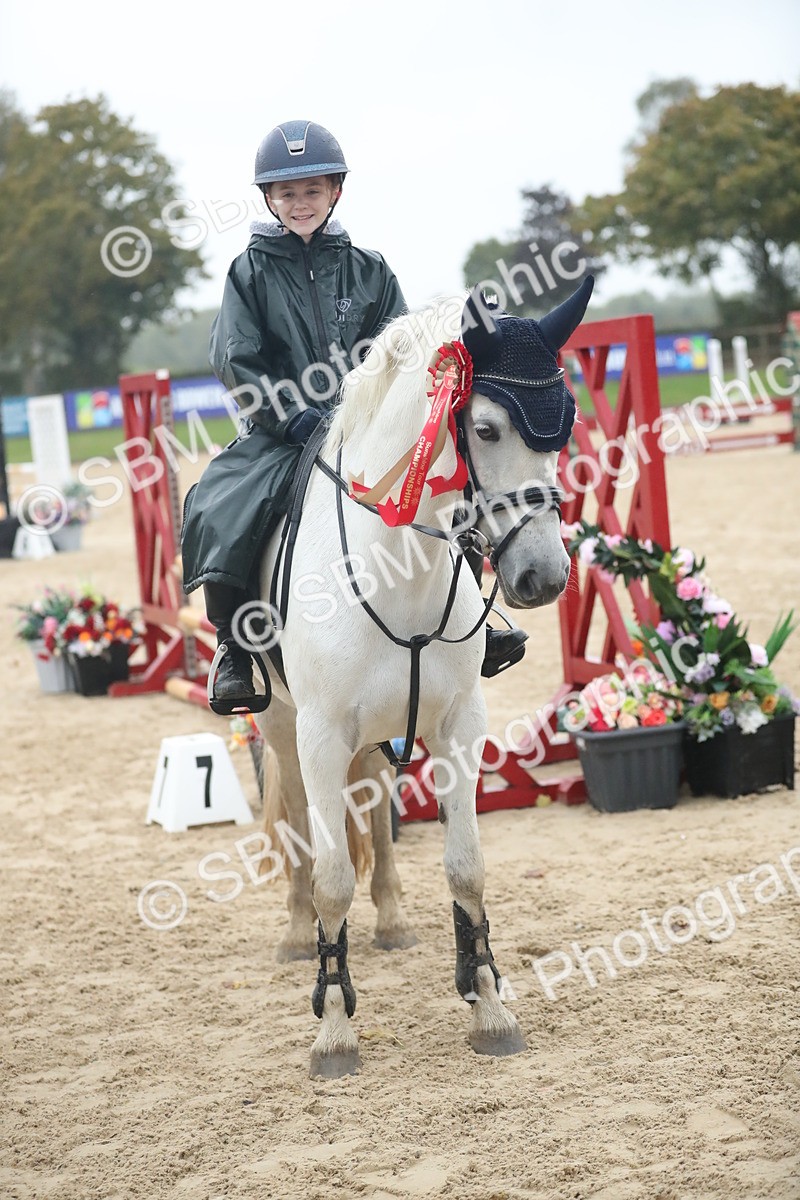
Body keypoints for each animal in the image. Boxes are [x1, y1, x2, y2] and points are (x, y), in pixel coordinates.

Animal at [253, 279, 592, 1078]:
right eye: (488, 429)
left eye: (563, 428)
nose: (543, 576)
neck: (396, 569)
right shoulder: (319, 734)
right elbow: (330, 875)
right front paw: (334, 1030)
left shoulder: (458, 724)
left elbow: (466, 866)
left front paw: (489, 1006)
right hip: (282, 727)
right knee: (298, 825)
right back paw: (296, 934)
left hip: (382, 735)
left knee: (375, 808)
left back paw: (393, 919)